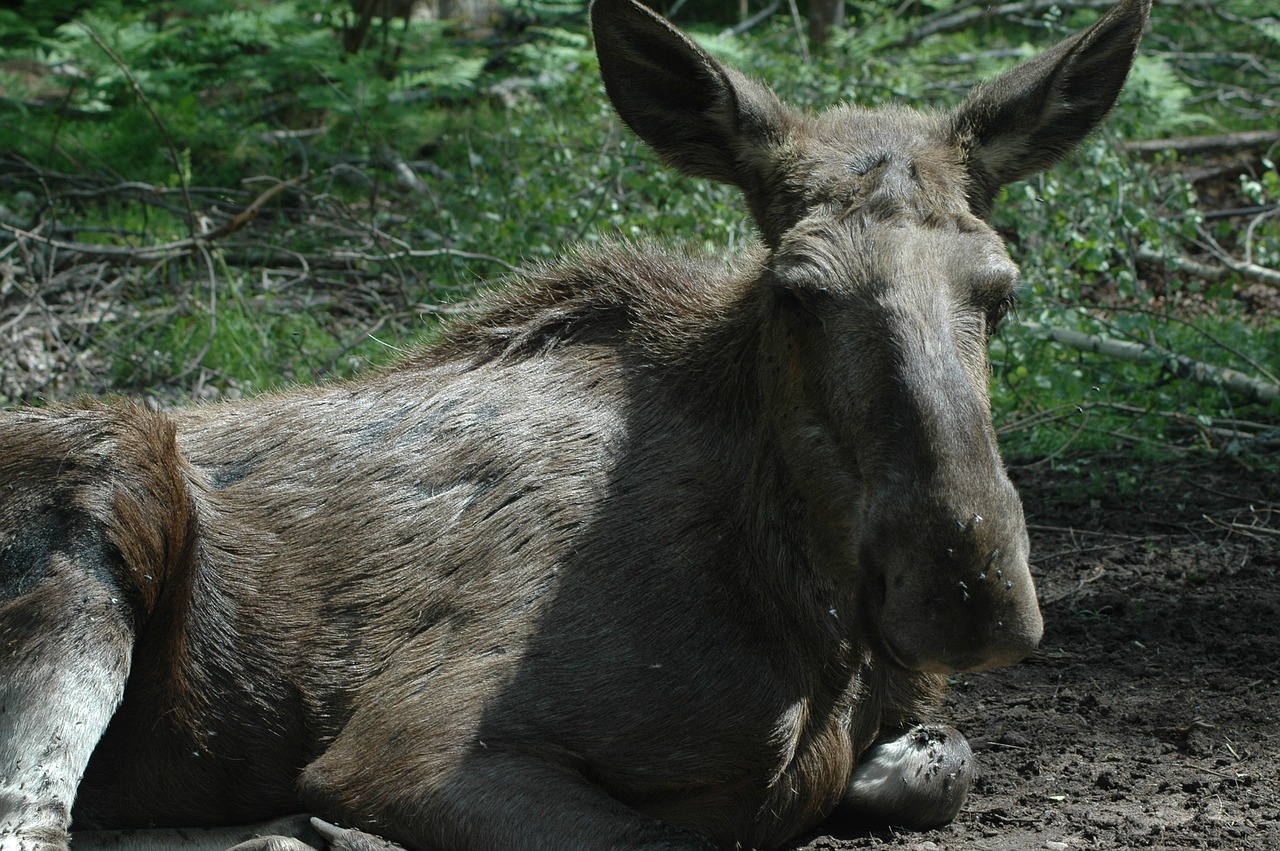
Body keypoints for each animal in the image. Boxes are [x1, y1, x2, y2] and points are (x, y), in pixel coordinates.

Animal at [2, 0, 1152, 844]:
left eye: (999, 290)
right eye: (798, 291)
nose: (967, 591)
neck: (808, 610)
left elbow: (943, 761)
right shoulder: (410, 745)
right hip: (102, 475)